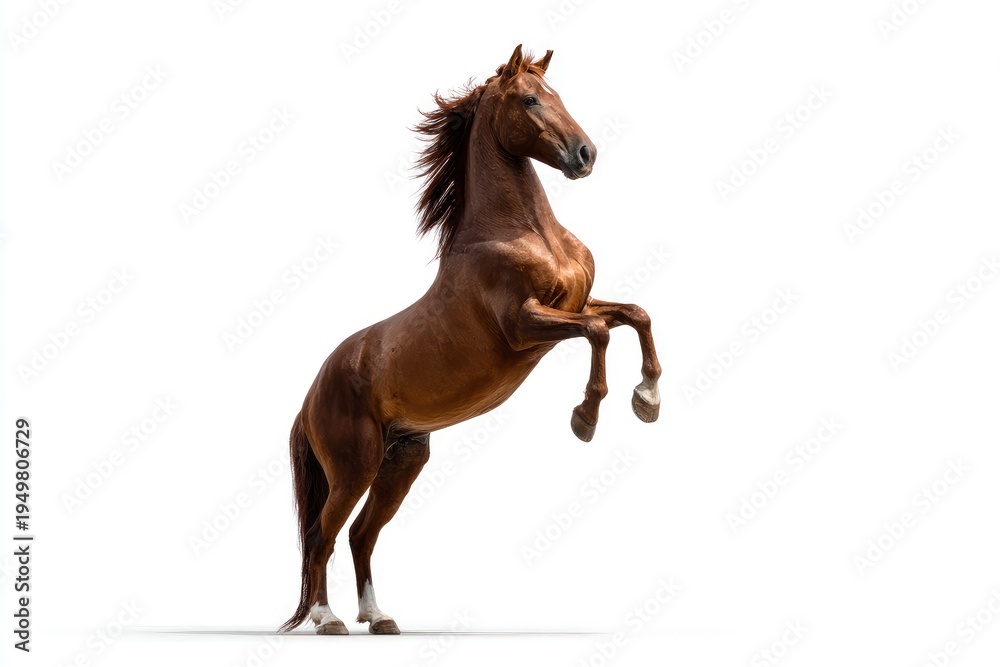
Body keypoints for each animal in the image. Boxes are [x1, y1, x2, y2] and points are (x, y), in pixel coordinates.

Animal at [279, 44, 661, 635]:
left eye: (556, 94)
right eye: (529, 100)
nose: (585, 154)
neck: (521, 233)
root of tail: (311, 396)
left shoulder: (574, 307)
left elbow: (636, 315)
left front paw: (647, 399)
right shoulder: (525, 326)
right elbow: (599, 332)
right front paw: (585, 418)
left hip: (402, 461)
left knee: (361, 535)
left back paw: (378, 617)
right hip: (353, 465)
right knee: (323, 534)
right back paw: (328, 619)